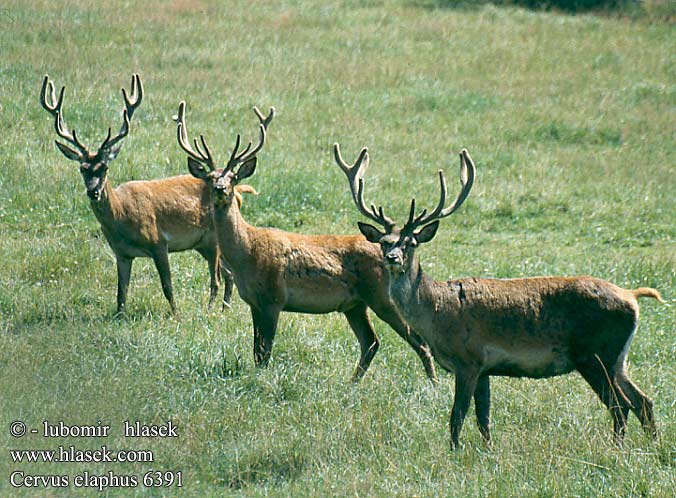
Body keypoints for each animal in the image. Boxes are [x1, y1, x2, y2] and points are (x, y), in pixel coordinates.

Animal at [39, 74, 258, 314]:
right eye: (82, 169)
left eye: (104, 167)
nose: (93, 191)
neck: (121, 215)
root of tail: (238, 192)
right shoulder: (121, 253)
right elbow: (121, 293)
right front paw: (120, 315)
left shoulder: (158, 241)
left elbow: (167, 285)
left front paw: (175, 314)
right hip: (202, 244)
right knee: (228, 274)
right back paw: (223, 309)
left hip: (212, 241)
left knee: (219, 277)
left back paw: (213, 309)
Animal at [174, 102, 438, 382]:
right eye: (210, 177)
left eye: (234, 177)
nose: (220, 189)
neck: (246, 253)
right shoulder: (254, 302)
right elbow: (256, 352)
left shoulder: (273, 298)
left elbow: (265, 353)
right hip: (355, 304)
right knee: (371, 342)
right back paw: (352, 383)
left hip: (383, 298)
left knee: (418, 341)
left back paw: (432, 384)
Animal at [336, 144, 664, 448]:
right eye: (384, 241)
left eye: (411, 242)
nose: (392, 258)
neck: (436, 313)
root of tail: (632, 296)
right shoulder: (485, 368)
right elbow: (484, 418)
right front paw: (487, 452)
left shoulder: (468, 359)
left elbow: (457, 416)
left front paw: (455, 453)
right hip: (617, 358)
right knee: (643, 401)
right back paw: (651, 447)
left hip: (594, 353)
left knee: (620, 405)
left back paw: (618, 449)